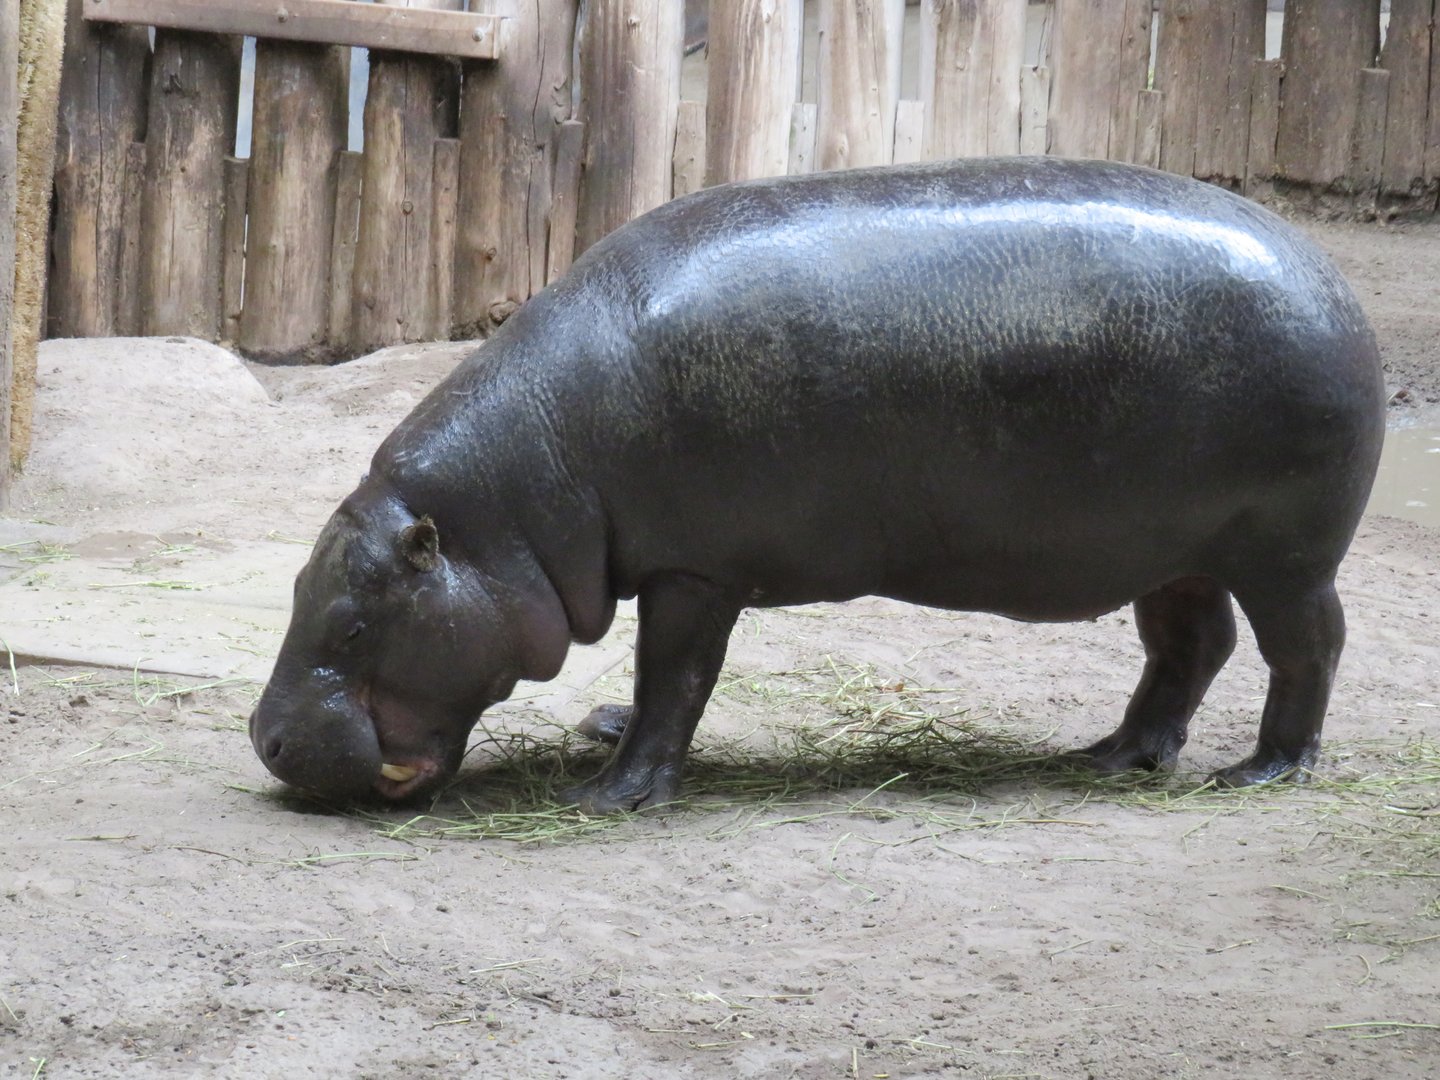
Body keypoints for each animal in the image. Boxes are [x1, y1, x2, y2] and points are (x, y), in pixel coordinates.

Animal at [250, 157, 1385, 814]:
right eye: (302, 590)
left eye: (354, 624)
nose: (264, 739)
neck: (511, 507)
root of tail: (1333, 279)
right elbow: (656, 684)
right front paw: (600, 734)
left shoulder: (694, 571)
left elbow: (675, 679)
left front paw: (612, 794)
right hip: (1171, 549)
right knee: (1190, 646)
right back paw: (1112, 758)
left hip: (1286, 553)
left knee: (1307, 645)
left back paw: (1263, 771)